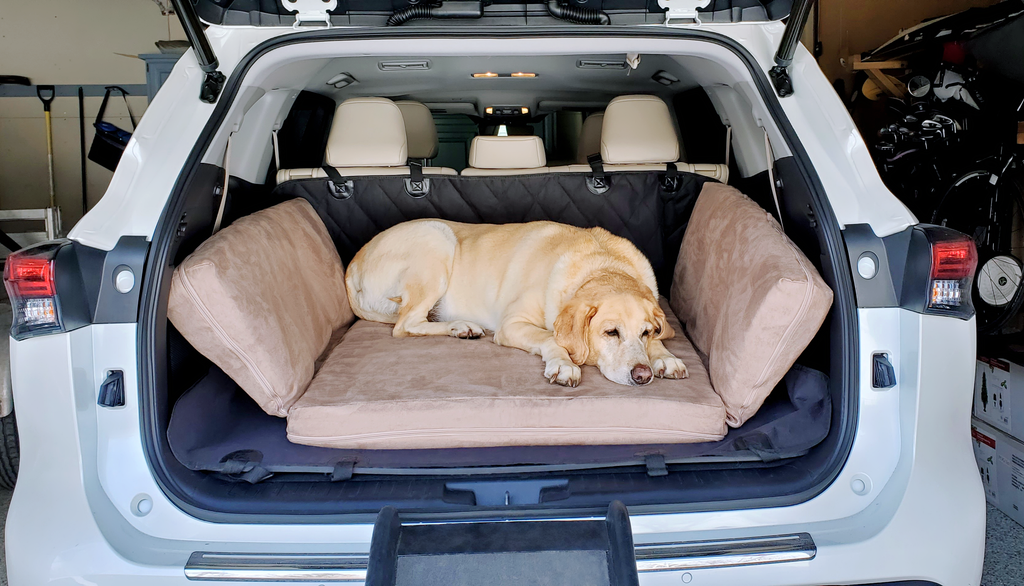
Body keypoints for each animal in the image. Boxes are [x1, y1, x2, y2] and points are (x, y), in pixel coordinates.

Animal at [344, 217, 688, 387]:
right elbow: (552, 338)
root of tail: (352, 265)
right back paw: (461, 325)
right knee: (405, 326)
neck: (602, 264)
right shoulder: (511, 325)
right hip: (436, 241)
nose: (642, 376)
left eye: (646, 332)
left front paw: (664, 356)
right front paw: (563, 364)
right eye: (610, 332)